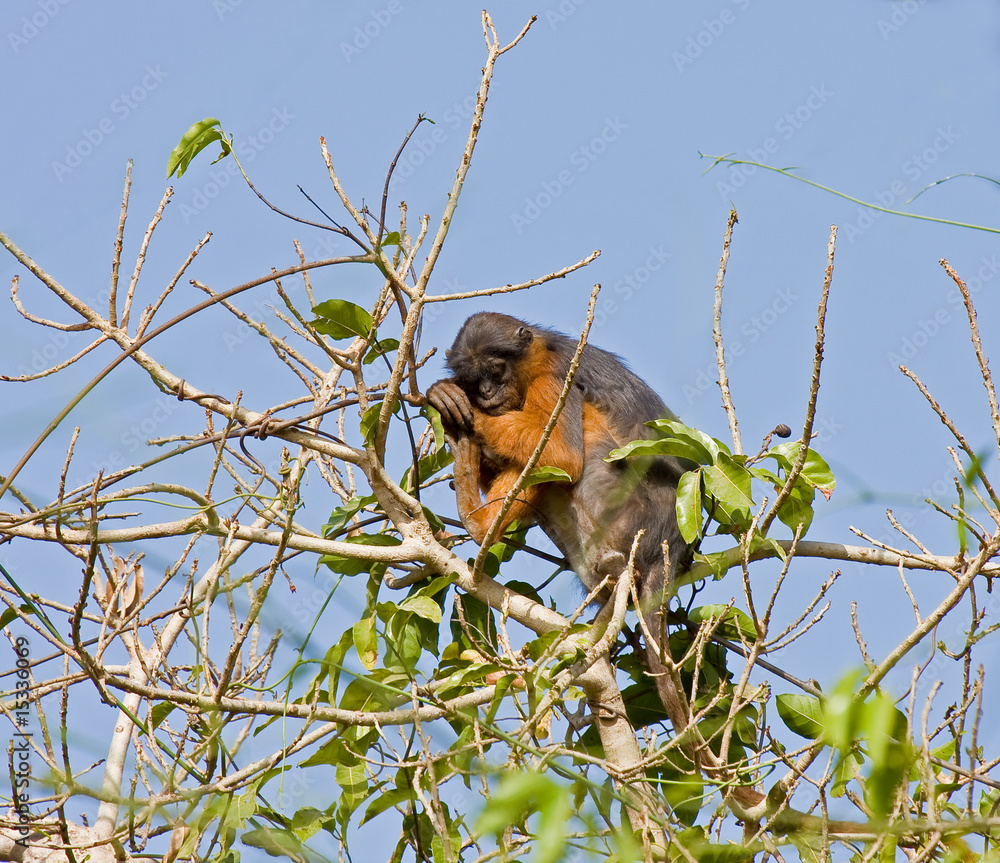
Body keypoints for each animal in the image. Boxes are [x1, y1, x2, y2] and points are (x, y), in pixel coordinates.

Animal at [427, 311, 692, 731]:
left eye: (495, 370)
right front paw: (451, 397)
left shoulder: (555, 376)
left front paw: (454, 404)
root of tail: (663, 548)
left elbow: (560, 455)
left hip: (617, 511)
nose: (484, 393)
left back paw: (476, 520)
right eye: (474, 377)